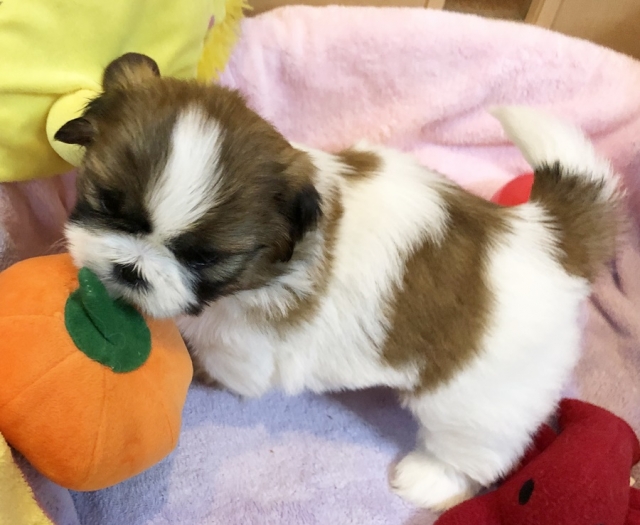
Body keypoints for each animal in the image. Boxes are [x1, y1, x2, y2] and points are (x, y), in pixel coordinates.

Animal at [57, 53, 622, 511]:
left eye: (204, 258)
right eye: (106, 204)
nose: (130, 270)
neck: (268, 267)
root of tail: (545, 236)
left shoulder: (243, 346)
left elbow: (213, 360)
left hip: (479, 394)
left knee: (481, 445)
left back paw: (433, 478)